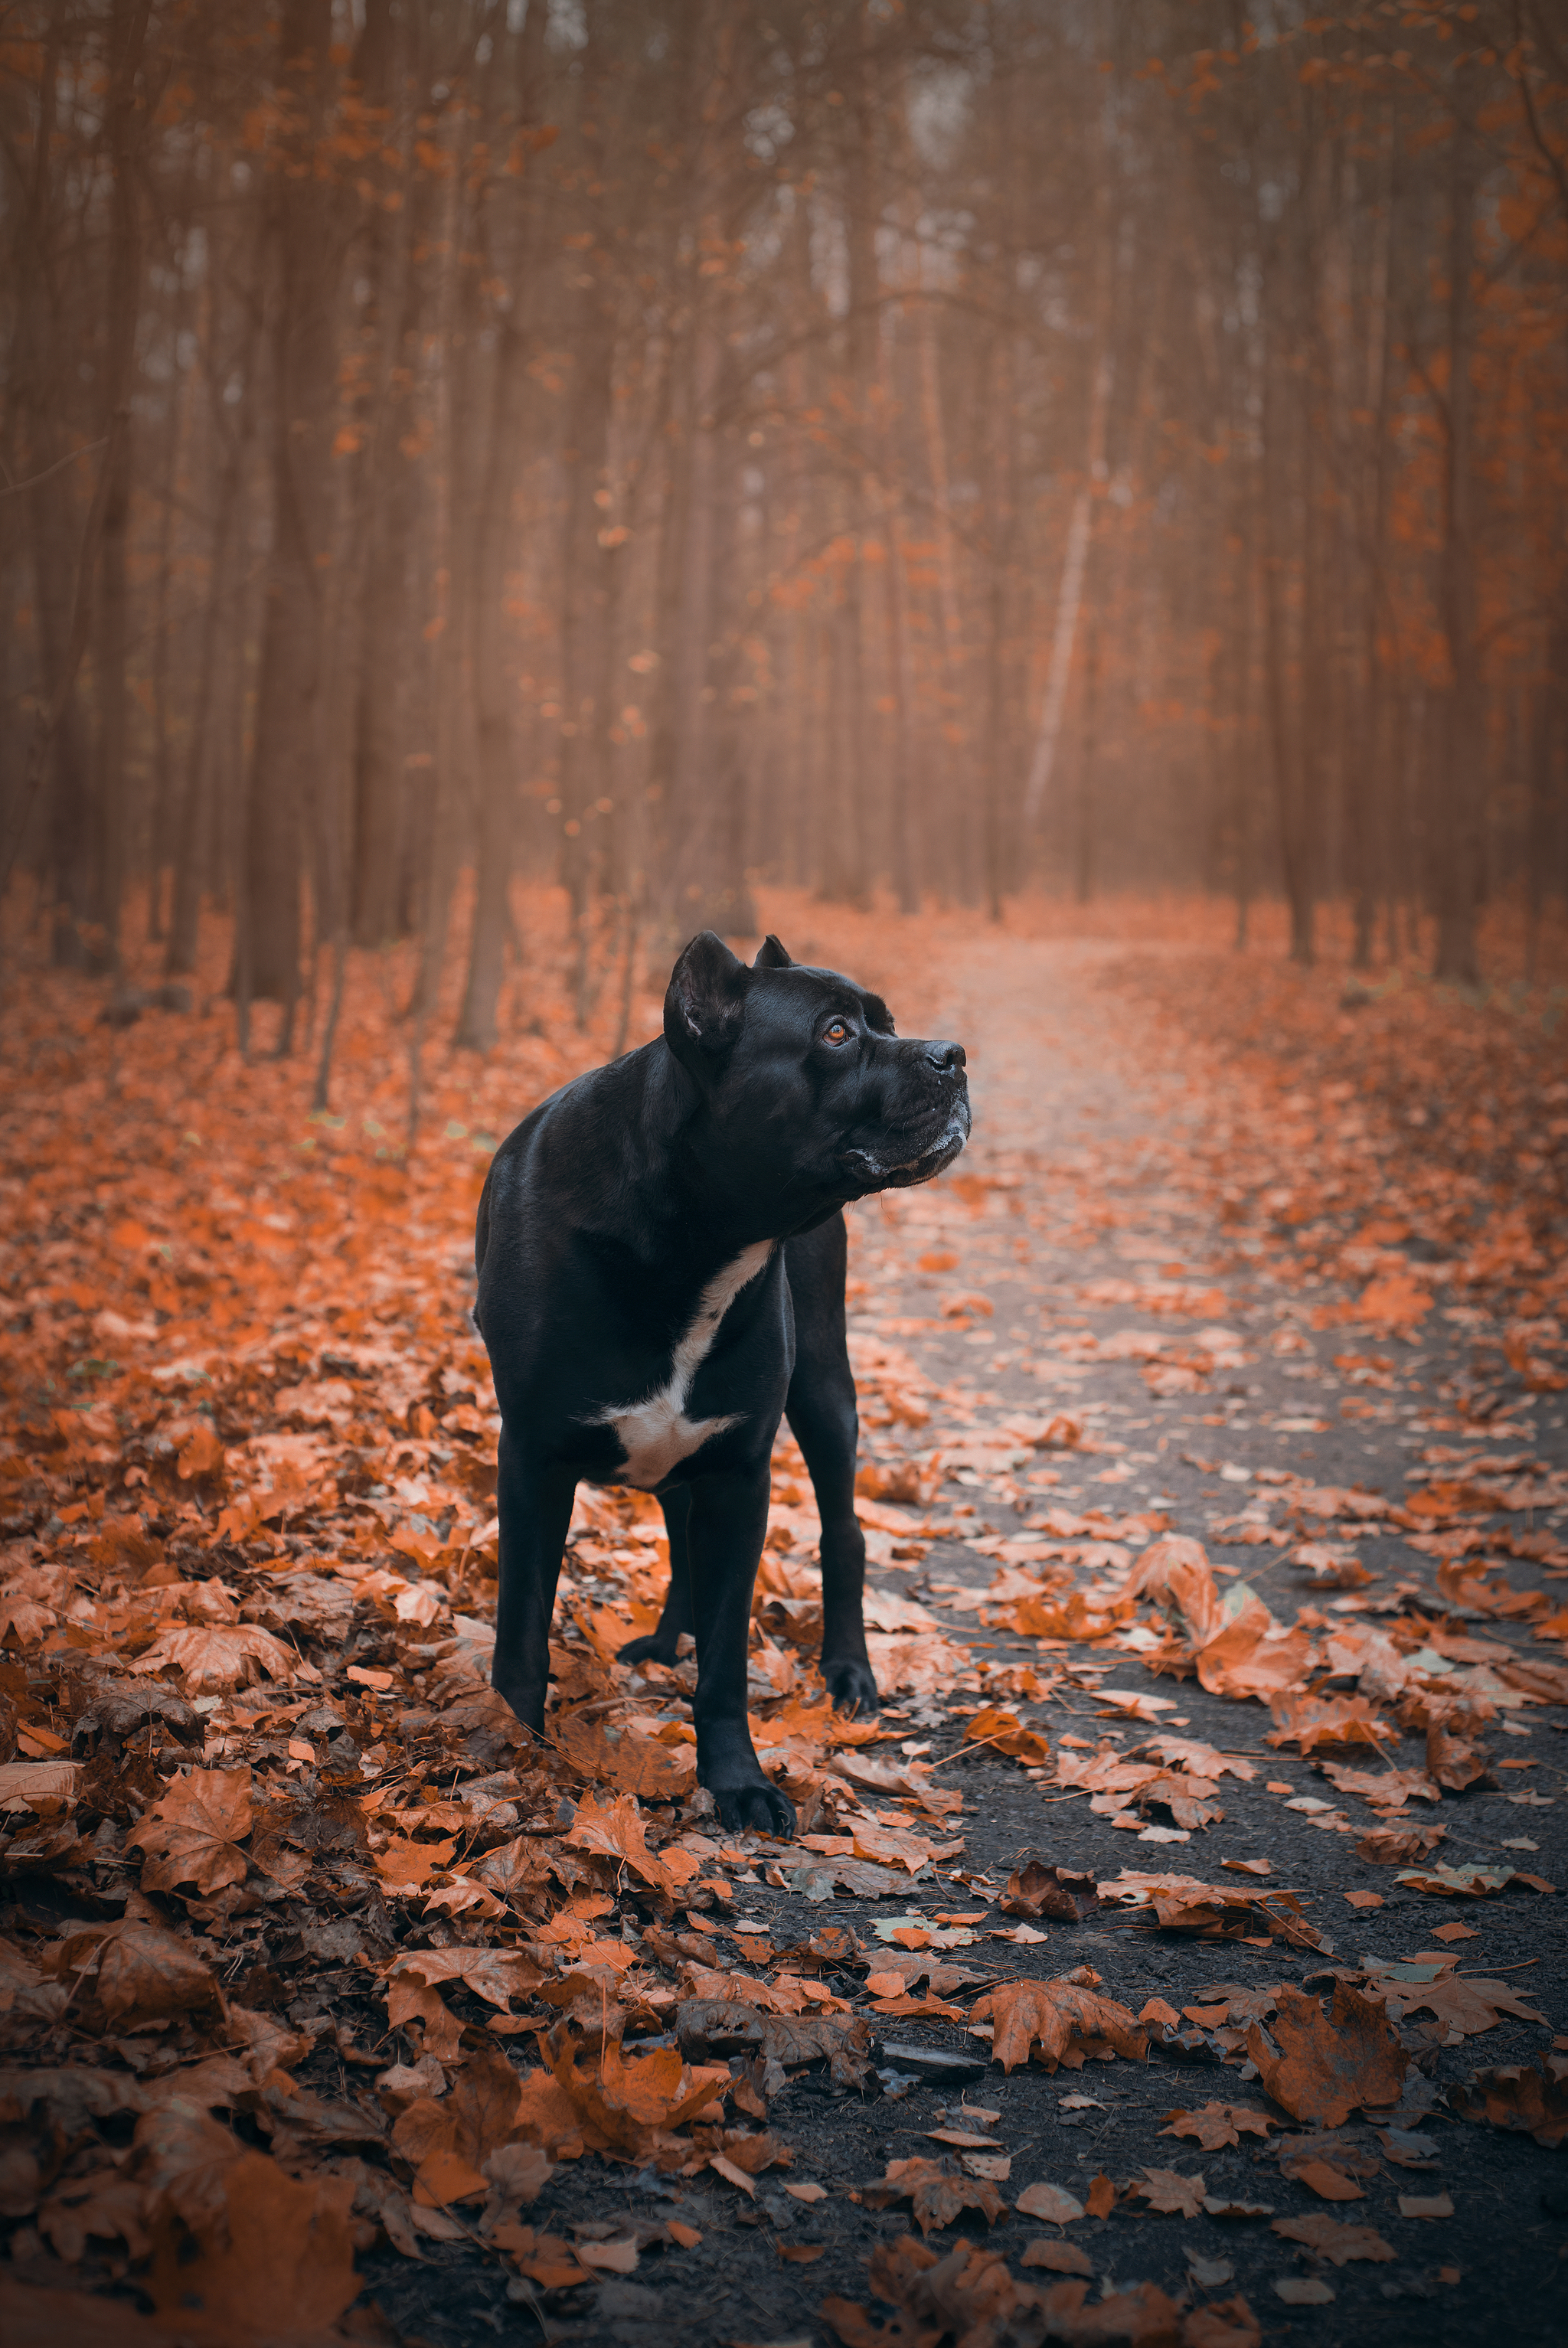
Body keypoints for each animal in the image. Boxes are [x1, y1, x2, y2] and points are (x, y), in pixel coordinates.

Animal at [472, 929, 967, 1831]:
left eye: (887, 1023)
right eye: (836, 1032)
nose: (952, 1054)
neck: (694, 1230)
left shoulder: (740, 1472)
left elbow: (729, 1657)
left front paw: (736, 1781)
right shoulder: (531, 1461)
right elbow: (520, 1631)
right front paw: (511, 1757)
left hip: (824, 1392)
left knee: (843, 1532)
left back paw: (847, 1672)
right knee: (680, 1542)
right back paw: (669, 1644)